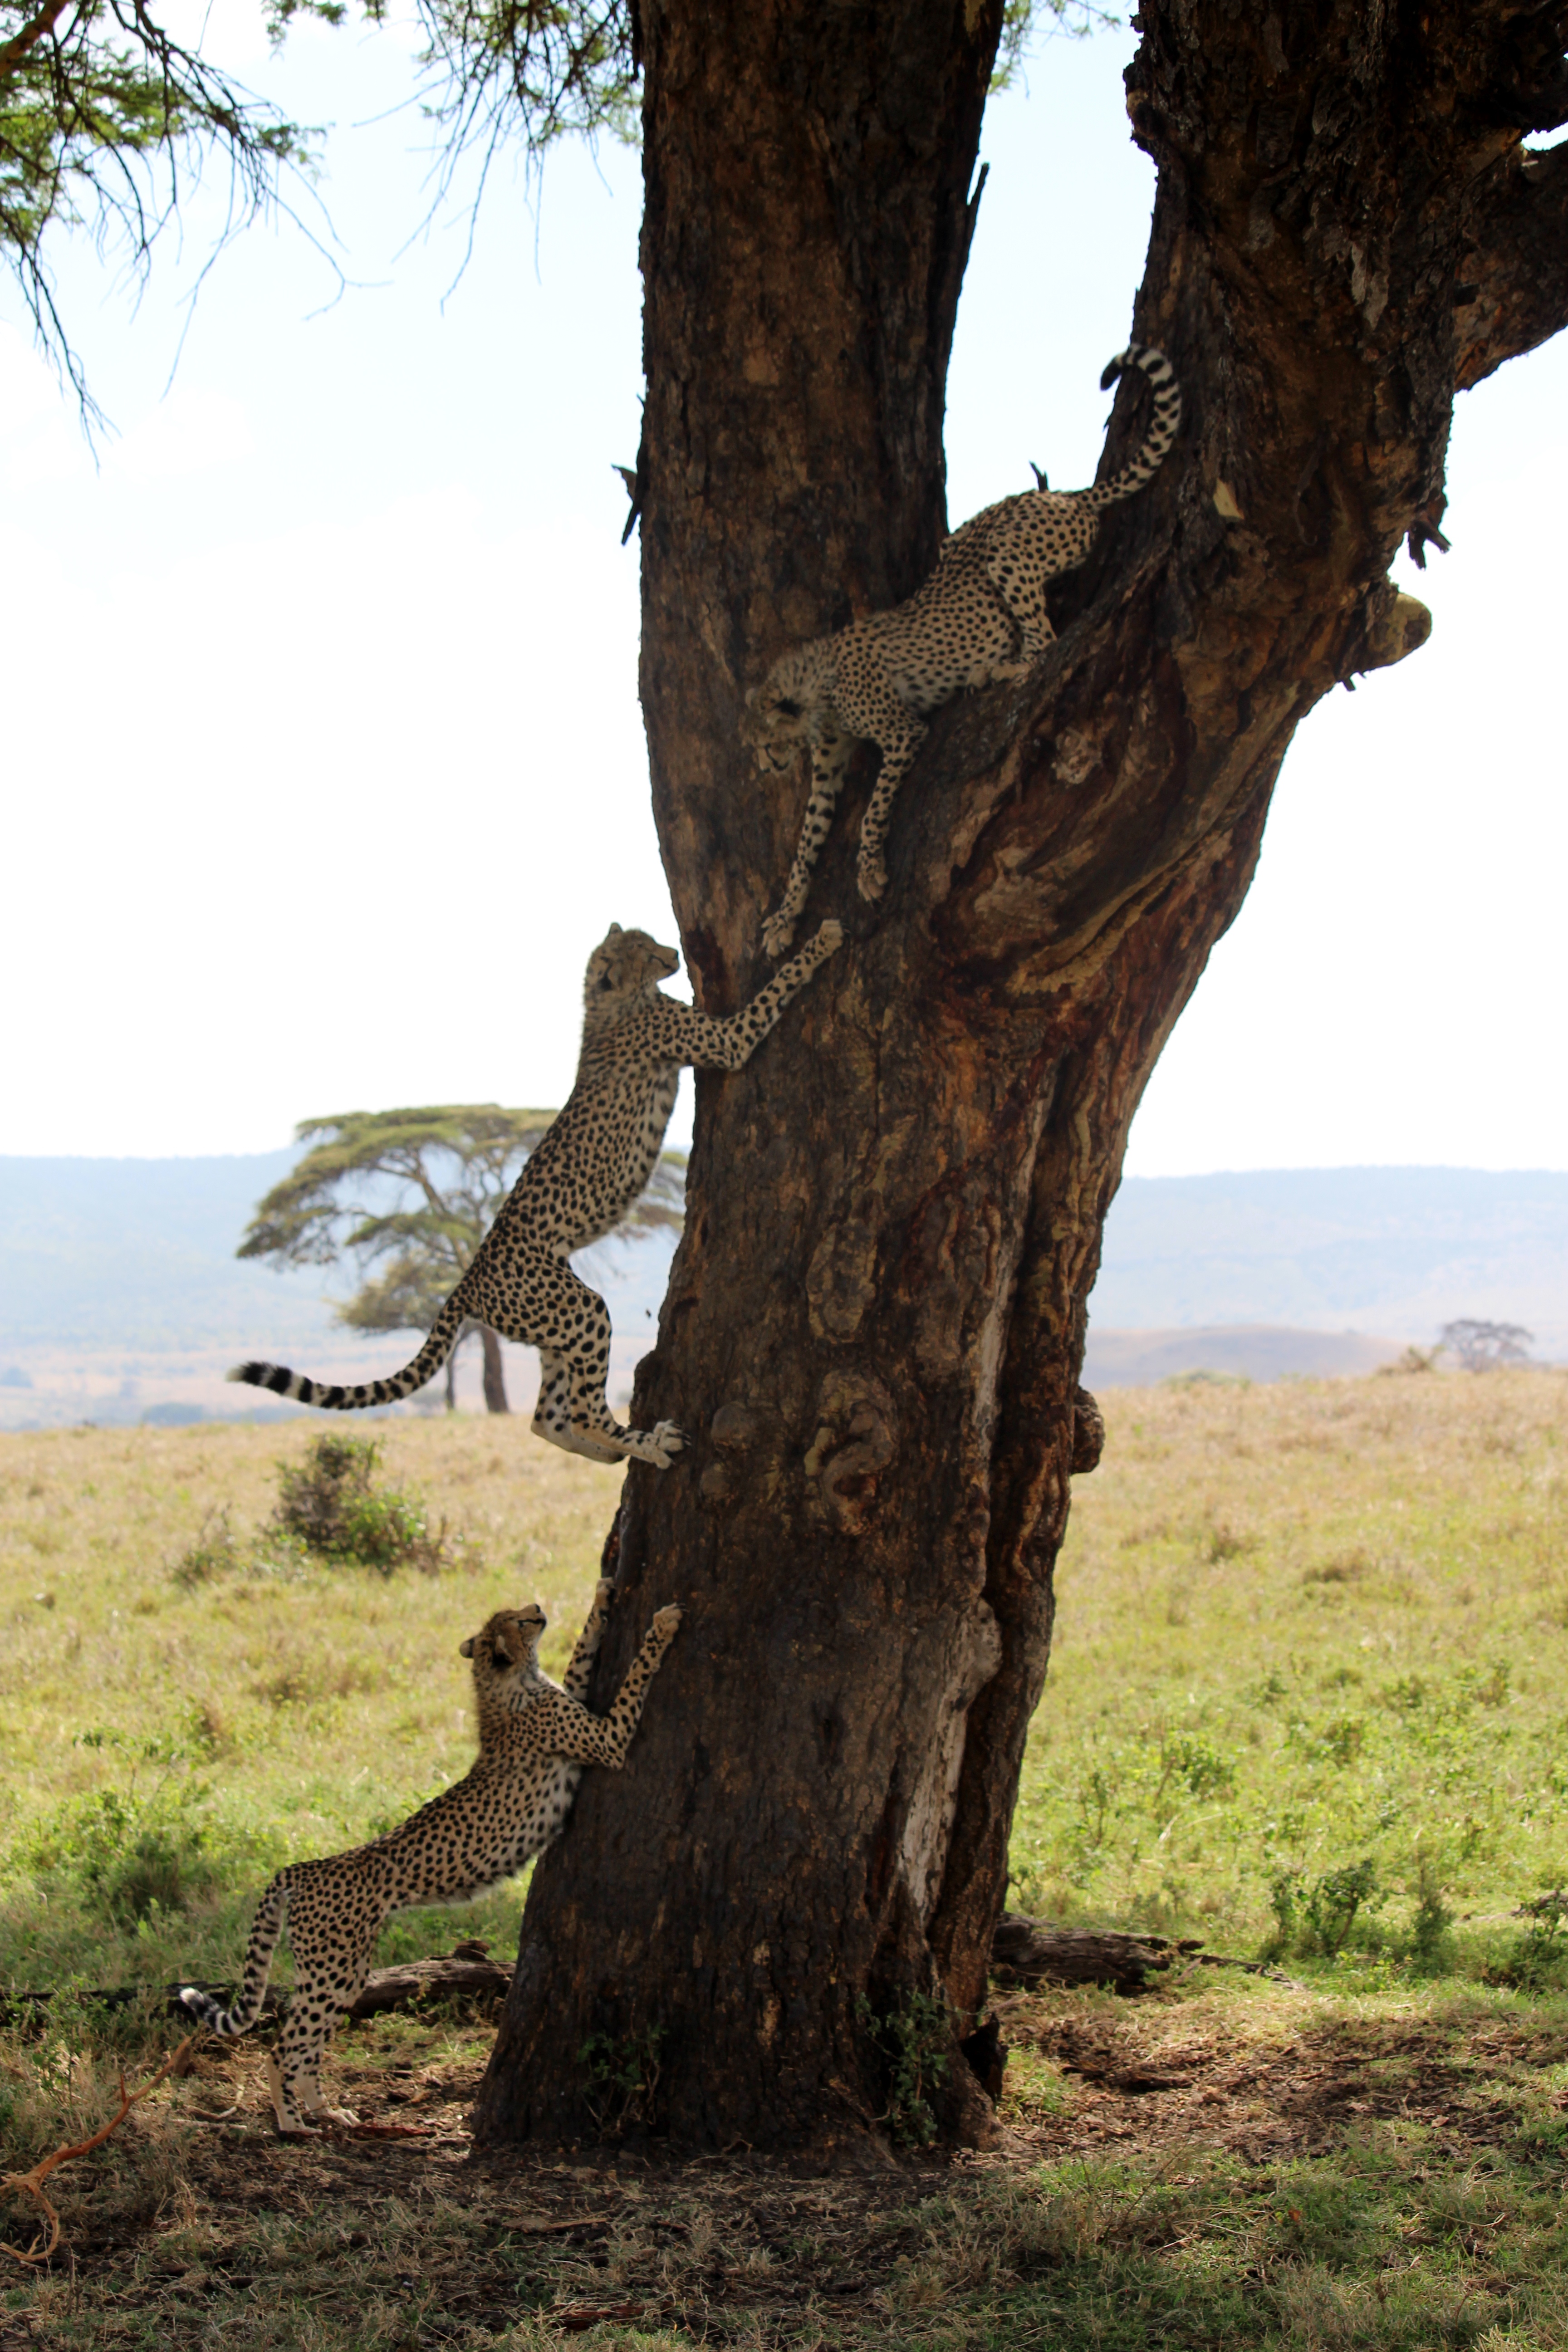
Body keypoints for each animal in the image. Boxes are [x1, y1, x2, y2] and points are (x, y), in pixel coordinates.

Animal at [180, 1580, 681, 2136]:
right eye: (519, 1622)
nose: (537, 1608)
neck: (501, 1684)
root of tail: (303, 1868)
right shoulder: (607, 1739)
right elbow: (634, 1676)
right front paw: (662, 1625)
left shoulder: (572, 1695)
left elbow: (582, 1654)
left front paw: (602, 1595)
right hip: (333, 1968)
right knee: (281, 2048)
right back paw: (292, 2124)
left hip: (344, 1974)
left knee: (308, 2045)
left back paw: (326, 2109)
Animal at [225, 908, 841, 1458]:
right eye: (645, 953)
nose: (672, 956)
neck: (605, 1001)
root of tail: (469, 1276)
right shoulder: (725, 1041)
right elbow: (770, 994)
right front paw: (821, 942)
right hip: (579, 1308)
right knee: (585, 1409)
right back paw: (648, 1443)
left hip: (552, 1325)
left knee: (548, 1419)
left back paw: (611, 1453)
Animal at [747, 343, 1175, 950]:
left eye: (764, 741)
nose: (764, 767)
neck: (813, 691)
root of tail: (1067, 495)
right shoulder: (828, 770)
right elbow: (806, 846)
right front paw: (786, 919)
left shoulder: (901, 733)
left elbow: (872, 810)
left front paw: (869, 870)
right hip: (961, 544)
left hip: (1005, 552)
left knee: (1046, 641)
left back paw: (997, 672)